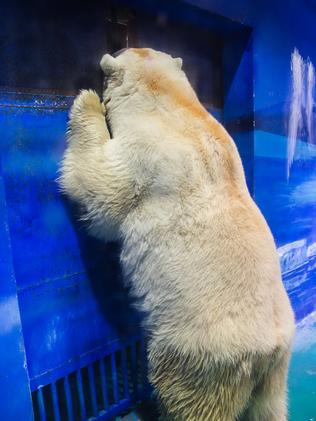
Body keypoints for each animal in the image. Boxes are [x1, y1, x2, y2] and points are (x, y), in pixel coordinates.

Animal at [59, 47, 296, 418]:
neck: (169, 101)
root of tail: (268, 350)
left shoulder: (145, 158)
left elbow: (102, 193)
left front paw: (87, 101)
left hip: (201, 356)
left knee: (188, 396)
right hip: (275, 369)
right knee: (269, 406)